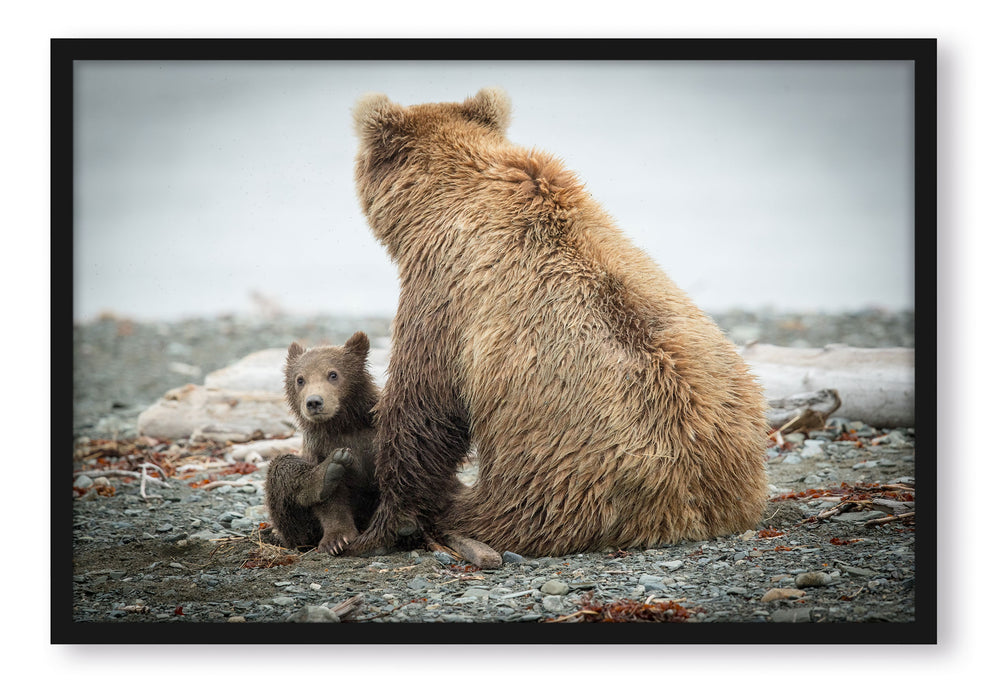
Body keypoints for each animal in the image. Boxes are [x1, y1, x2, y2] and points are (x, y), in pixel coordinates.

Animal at [346, 89, 768, 556]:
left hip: (558, 477)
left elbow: (422, 405)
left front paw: (382, 526)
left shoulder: (444, 290)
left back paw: (453, 516)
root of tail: (692, 510)